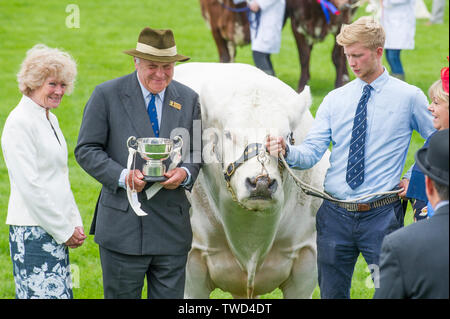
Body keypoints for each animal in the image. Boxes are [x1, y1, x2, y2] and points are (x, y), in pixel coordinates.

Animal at [199, 0, 356, 92]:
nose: (348, 2)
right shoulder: (215, 28)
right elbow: (304, 56)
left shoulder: (341, 20)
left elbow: (337, 56)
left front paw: (338, 84)